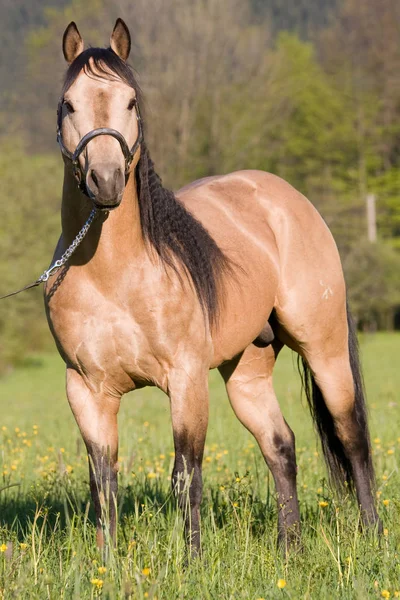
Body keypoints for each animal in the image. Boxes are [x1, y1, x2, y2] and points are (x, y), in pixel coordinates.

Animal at [46, 19, 382, 556]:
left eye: (131, 102)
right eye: (69, 103)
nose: (106, 180)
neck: (114, 275)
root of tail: (288, 198)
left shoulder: (185, 380)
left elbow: (186, 475)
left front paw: (192, 561)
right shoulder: (86, 389)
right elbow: (103, 482)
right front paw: (107, 563)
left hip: (324, 349)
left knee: (351, 436)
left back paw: (371, 534)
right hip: (246, 371)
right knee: (280, 444)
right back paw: (290, 547)